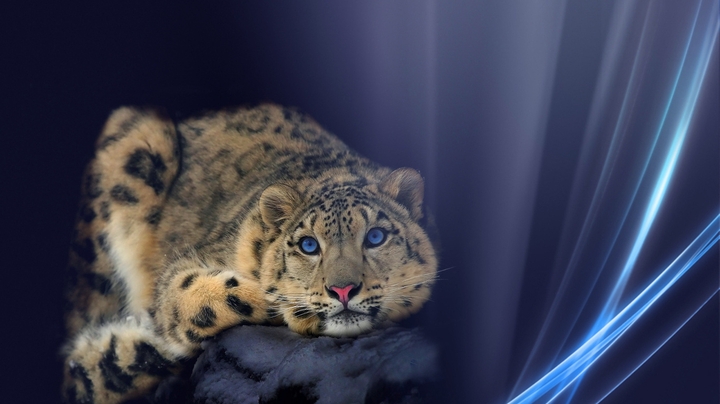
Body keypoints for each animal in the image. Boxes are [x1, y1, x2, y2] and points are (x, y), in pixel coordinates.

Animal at [61, 104, 438, 404]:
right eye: (309, 245)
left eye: (375, 236)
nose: (342, 290)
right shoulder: (182, 267)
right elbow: (189, 298)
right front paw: (281, 303)